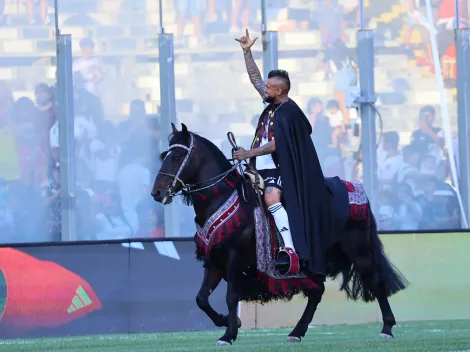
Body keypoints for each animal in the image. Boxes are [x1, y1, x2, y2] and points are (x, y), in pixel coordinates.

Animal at [151, 124, 408, 346]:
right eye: (165, 155)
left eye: (176, 157)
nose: (157, 192)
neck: (223, 197)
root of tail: (359, 192)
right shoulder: (215, 260)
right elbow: (201, 298)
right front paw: (228, 323)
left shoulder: (235, 258)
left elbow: (231, 296)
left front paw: (229, 334)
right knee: (317, 292)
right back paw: (297, 332)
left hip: (358, 251)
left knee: (375, 281)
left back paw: (387, 328)